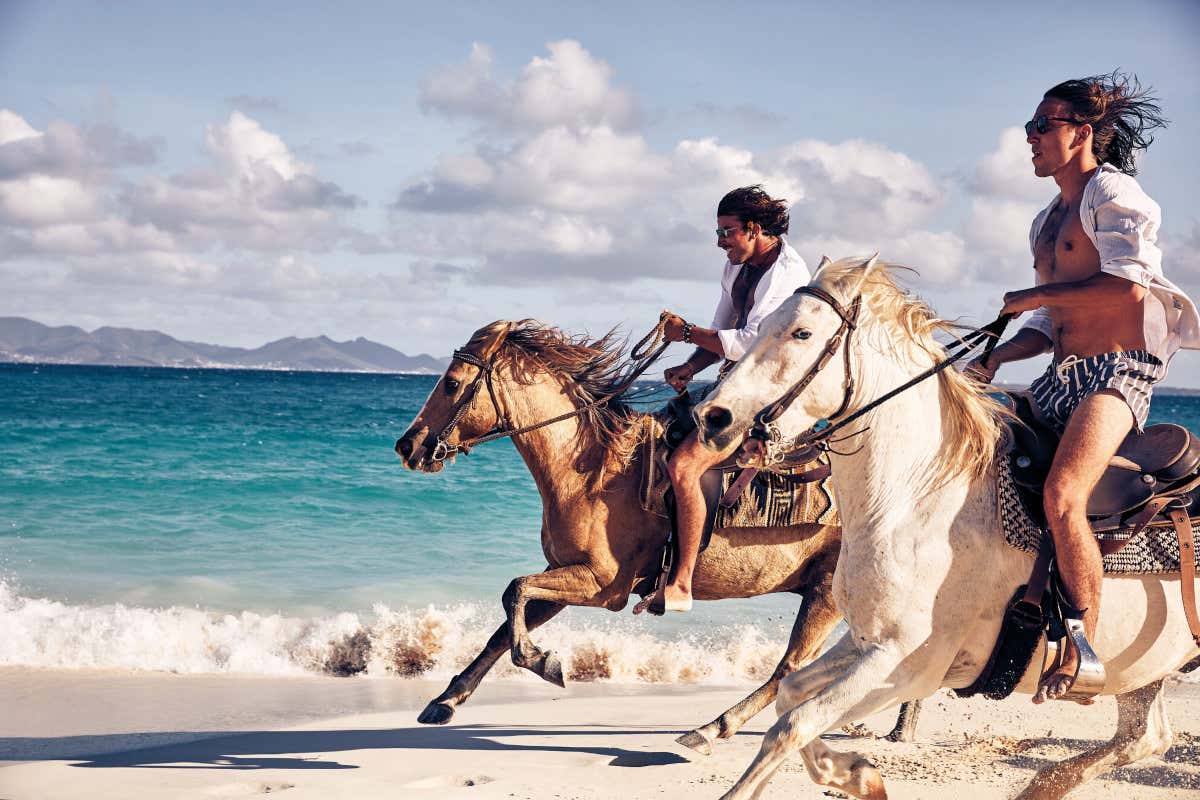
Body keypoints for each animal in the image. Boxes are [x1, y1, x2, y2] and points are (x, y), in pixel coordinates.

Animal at [394, 318, 919, 752]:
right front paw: (446, 700)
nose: (408, 445)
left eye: (452, 383)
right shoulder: (564, 574)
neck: (593, 470)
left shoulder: (601, 585)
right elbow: (506, 624)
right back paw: (900, 727)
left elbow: (514, 593)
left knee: (789, 668)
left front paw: (543, 662)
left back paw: (712, 728)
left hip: (826, 593)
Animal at [696, 256, 1200, 800]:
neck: (914, 502)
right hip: (1143, 671)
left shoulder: (910, 665)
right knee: (1147, 736)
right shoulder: (866, 641)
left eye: (801, 333)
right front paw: (858, 773)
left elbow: (793, 725)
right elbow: (790, 697)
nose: (713, 416)